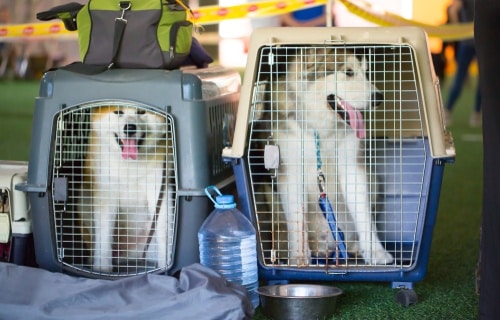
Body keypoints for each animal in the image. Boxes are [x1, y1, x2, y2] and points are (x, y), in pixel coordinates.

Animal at [79, 105, 175, 272]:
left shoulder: (158, 189)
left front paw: (165, 265)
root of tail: (126, 257)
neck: (130, 165)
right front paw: (102, 269)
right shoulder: (106, 192)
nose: (130, 127)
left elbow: (164, 233)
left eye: (141, 112)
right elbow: (104, 236)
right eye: (118, 112)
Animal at [266, 47, 394, 266]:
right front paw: (299, 256)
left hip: (374, 181)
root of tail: (327, 246)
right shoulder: (290, 173)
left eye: (365, 73)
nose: (378, 98)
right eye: (348, 72)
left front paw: (376, 252)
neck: (322, 130)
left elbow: (364, 215)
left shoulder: (352, 168)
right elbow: (297, 217)